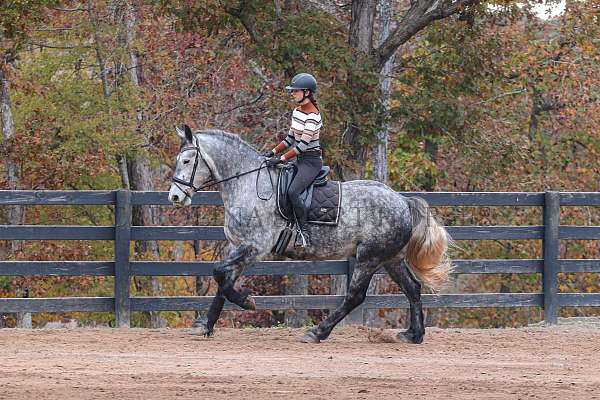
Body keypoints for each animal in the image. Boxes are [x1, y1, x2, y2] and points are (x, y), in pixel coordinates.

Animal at [165, 126, 450, 344]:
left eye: (187, 161)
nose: (175, 197)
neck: (248, 184)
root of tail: (402, 201)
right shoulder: (237, 247)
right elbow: (223, 281)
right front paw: (206, 324)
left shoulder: (255, 247)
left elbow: (219, 275)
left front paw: (247, 302)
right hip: (391, 258)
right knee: (412, 288)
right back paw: (413, 335)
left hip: (369, 257)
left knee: (355, 296)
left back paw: (317, 332)